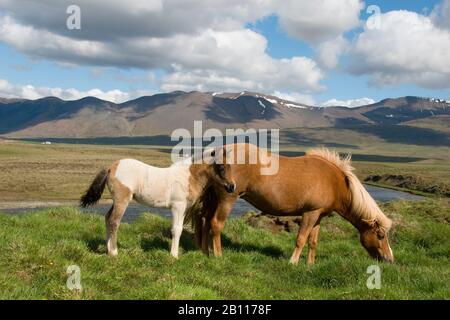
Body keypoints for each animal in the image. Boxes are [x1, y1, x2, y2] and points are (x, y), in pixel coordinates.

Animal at [80, 149, 236, 258]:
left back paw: (108, 249)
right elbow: (176, 229)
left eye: (230, 166)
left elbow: (179, 228)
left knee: (107, 218)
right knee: (114, 221)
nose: (232, 186)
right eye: (221, 167)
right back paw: (114, 252)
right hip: (121, 200)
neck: (188, 177)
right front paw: (174, 255)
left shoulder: (183, 209)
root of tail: (111, 168)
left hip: (117, 201)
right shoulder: (177, 206)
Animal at [190, 144, 394, 264]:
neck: (334, 182)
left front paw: (310, 265)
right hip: (227, 199)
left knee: (205, 221)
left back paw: (204, 251)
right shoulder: (310, 214)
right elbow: (301, 239)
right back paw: (218, 256)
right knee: (216, 224)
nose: (390, 260)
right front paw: (293, 263)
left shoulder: (318, 216)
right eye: (381, 235)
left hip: (214, 200)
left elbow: (313, 241)